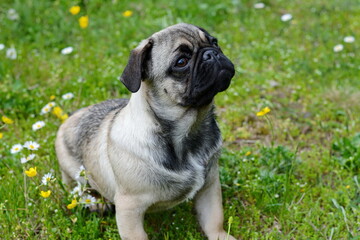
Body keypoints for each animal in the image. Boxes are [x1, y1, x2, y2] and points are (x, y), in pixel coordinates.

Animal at [55, 23, 236, 240]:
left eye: (214, 42)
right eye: (181, 62)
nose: (212, 53)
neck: (190, 130)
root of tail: (72, 116)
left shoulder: (209, 187)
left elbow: (214, 220)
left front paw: (221, 236)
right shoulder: (129, 208)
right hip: (73, 169)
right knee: (76, 187)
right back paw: (96, 201)